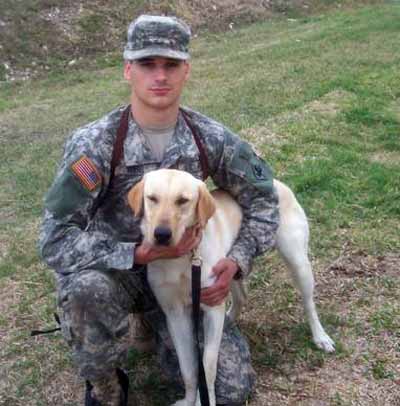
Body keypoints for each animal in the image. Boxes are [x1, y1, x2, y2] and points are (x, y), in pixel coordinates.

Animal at [128, 168, 335, 406]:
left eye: (182, 201)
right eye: (152, 198)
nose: (161, 234)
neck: (179, 260)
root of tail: (276, 182)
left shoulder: (211, 308)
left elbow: (207, 365)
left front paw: (205, 400)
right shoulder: (175, 314)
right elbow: (188, 367)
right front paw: (188, 400)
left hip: (298, 263)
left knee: (309, 303)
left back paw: (320, 337)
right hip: (231, 269)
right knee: (241, 295)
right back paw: (231, 319)